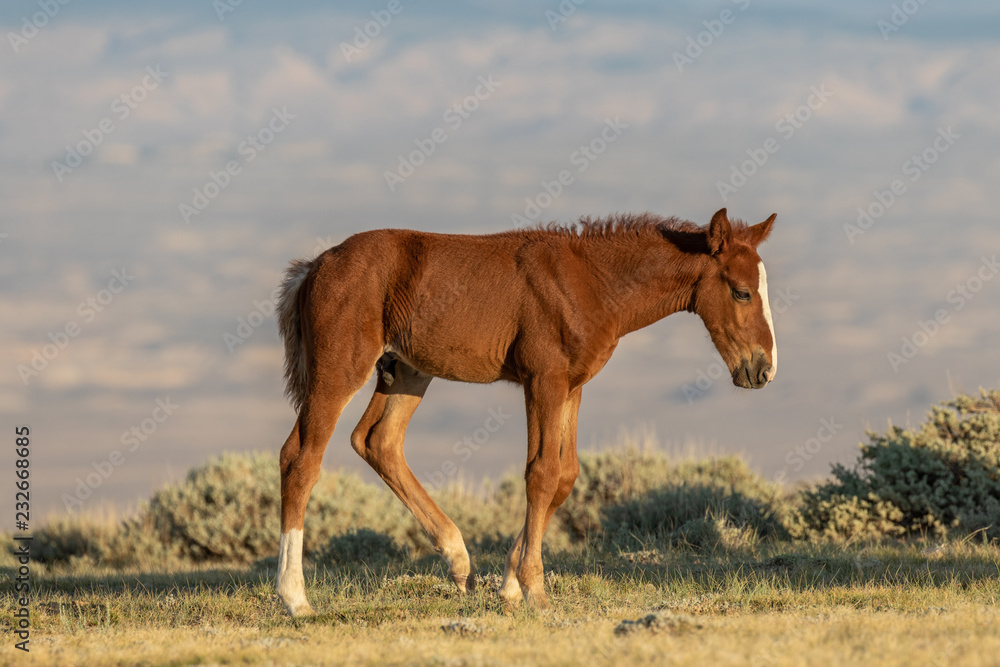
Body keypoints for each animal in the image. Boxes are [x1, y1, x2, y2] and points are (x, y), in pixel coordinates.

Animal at [274, 207, 777, 616]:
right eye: (741, 293)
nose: (763, 370)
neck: (591, 282)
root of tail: (316, 266)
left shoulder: (572, 386)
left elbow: (565, 475)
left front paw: (510, 586)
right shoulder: (543, 380)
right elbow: (541, 473)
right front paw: (535, 590)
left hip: (406, 371)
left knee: (377, 441)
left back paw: (459, 561)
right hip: (340, 369)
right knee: (301, 459)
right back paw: (295, 598)